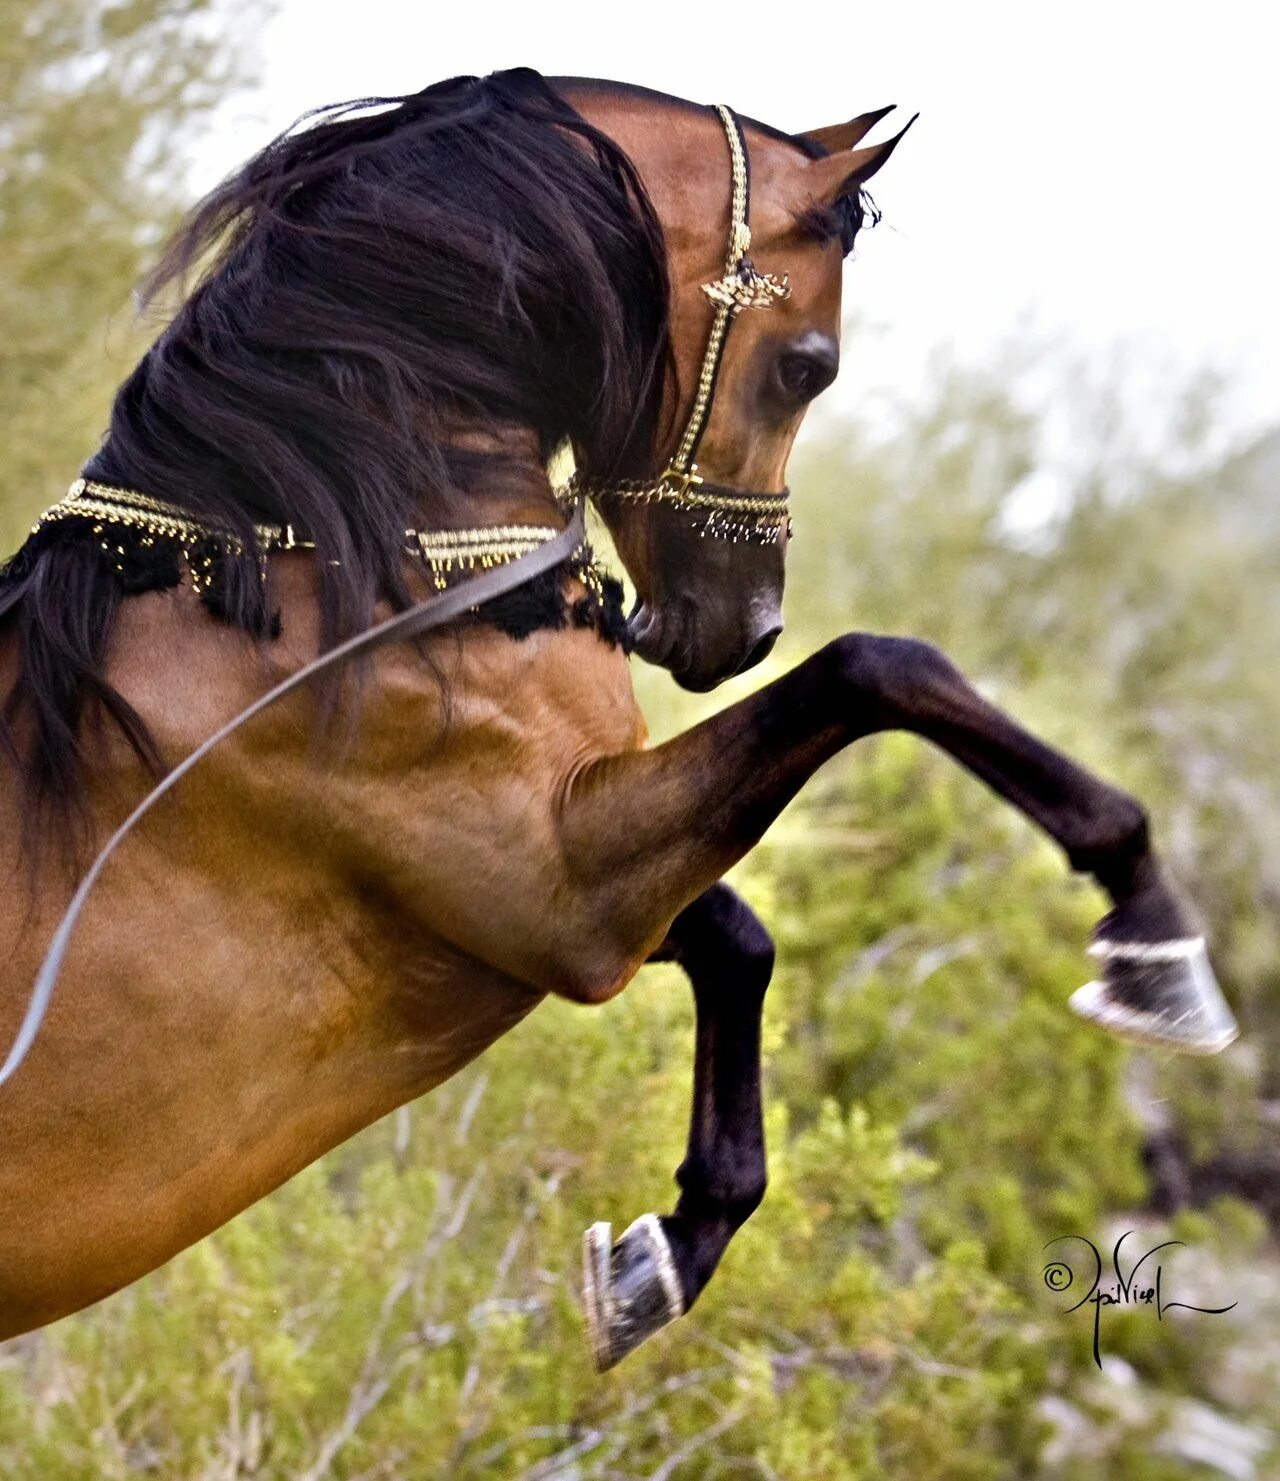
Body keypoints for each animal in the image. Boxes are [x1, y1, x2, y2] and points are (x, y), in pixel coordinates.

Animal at [0, 66, 1238, 1362]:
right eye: (806, 366)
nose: (741, 630)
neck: (308, 575)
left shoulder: (552, 880)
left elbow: (740, 933)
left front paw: (664, 1250)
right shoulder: (561, 891)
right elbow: (876, 668)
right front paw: (1153, 945)